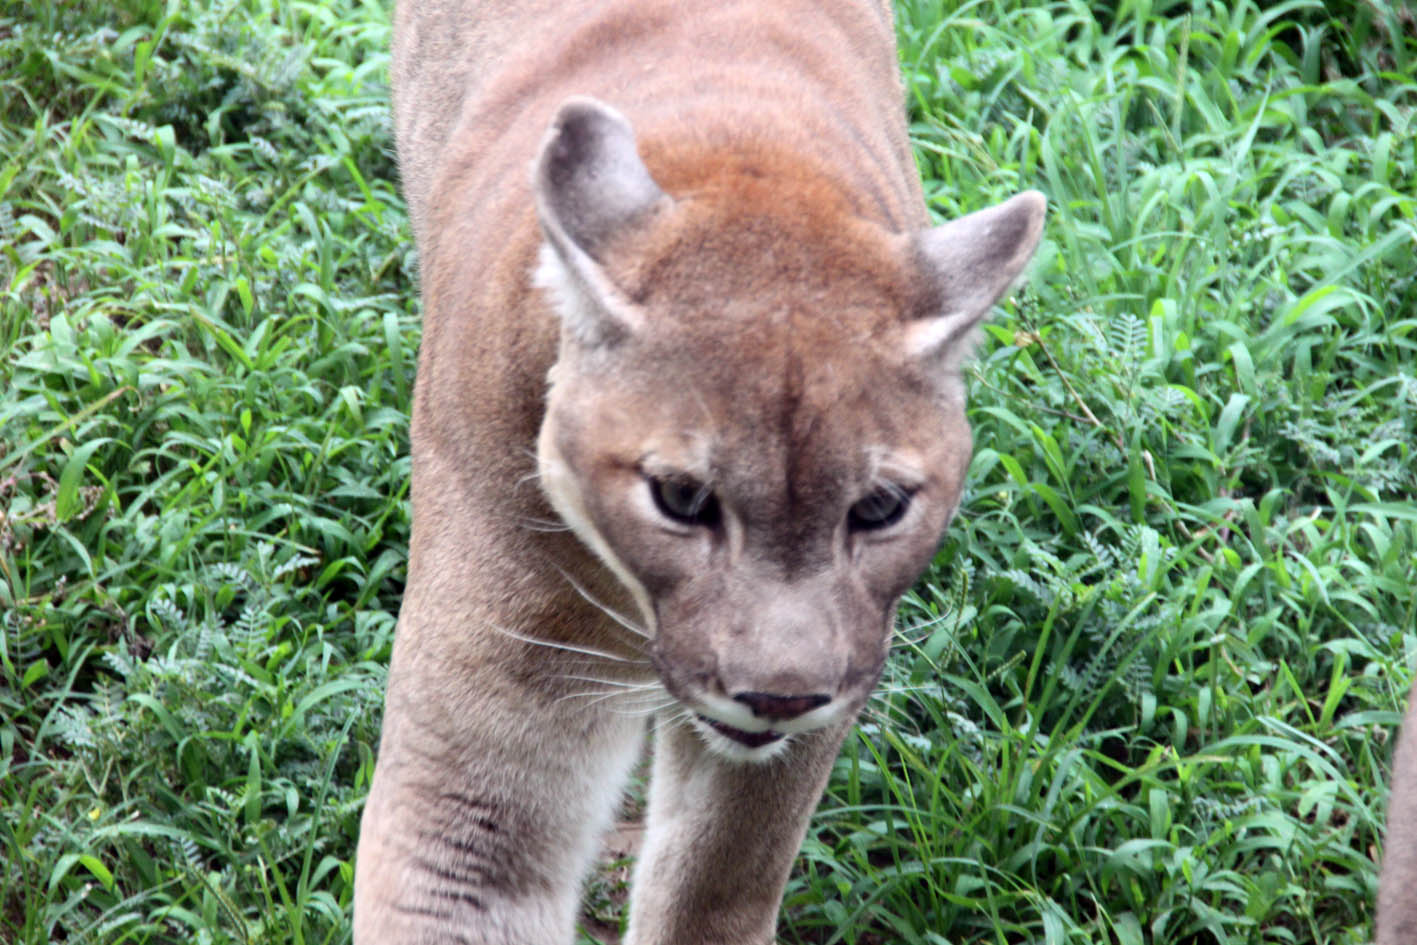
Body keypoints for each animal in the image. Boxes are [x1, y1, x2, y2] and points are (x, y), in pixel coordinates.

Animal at [352, 1, 1042, 945]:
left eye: (878, 507)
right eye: (681, 498)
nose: (780, 696)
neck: (744, 164)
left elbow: (710, 888)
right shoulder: (488, 747)